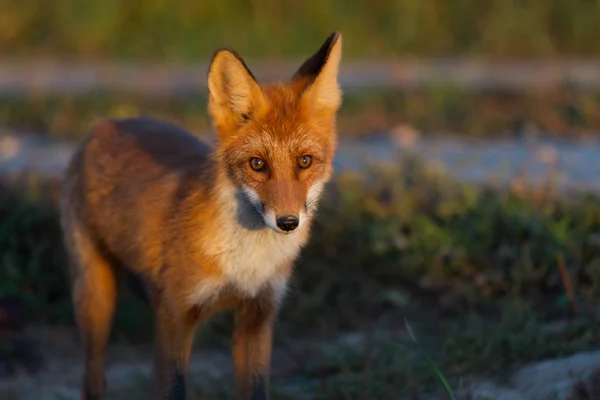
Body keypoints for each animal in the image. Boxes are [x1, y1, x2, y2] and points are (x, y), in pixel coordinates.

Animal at [59, 32, 342, 400]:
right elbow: (174, 388)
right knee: (93, 380)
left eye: (305, 161)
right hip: (95, 299)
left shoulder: (258, 316)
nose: (288, 222)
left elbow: (256, 389)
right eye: (257, 164)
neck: (245, 262)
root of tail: (106, 124)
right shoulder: (175, 317)